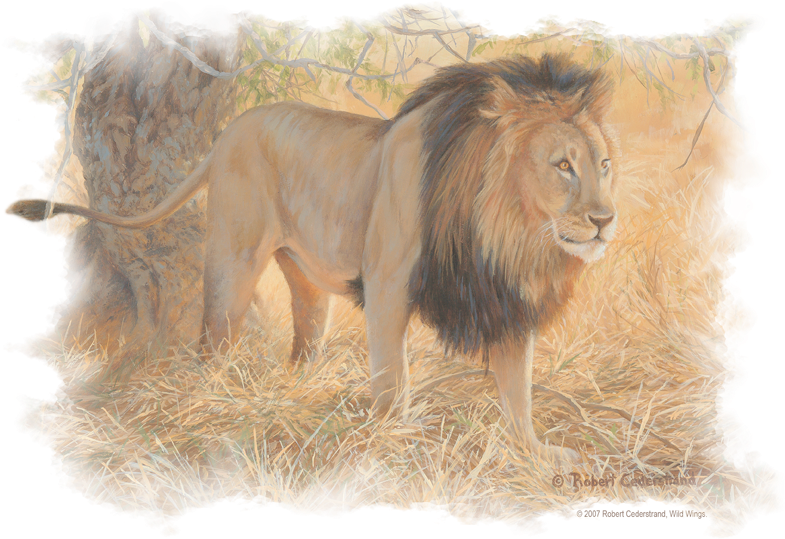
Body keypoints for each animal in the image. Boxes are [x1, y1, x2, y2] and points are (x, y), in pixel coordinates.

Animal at [6, 53, 620, 465]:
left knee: (302, 343)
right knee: (213, 340)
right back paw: (215, 401)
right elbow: (392, 377)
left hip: (304, 281)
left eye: (604, 164)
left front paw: (536, 453)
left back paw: (295, 393)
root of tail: (229, 131)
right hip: (233, 261)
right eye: (563, 166)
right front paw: (393, 440)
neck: (505, 233)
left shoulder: (507, 301)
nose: (605, 219)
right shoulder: (389, 284)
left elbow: (518, 389)